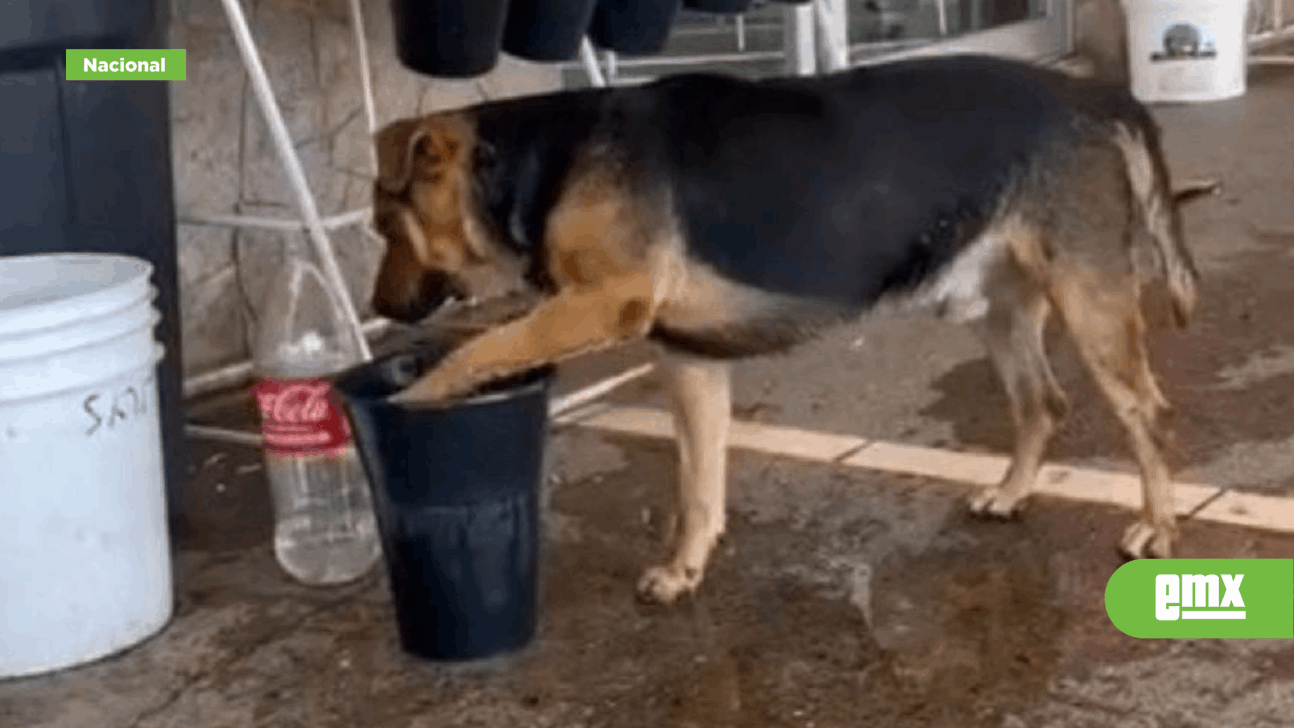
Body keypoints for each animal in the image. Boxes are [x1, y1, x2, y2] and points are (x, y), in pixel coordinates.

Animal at [370, 53, 1195, 607]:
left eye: (385, 226)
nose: (383, 308)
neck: (531, 162)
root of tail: (1091, 91)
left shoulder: (600, 303)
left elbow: (481, 347)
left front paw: (416, 399)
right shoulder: (690, 362)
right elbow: (698, 485)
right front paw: (687, 566)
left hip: (1090, 303)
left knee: (1147, 414)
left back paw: (1159, 527)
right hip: (998, 309)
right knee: (1041, 404)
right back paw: (1013, 492)